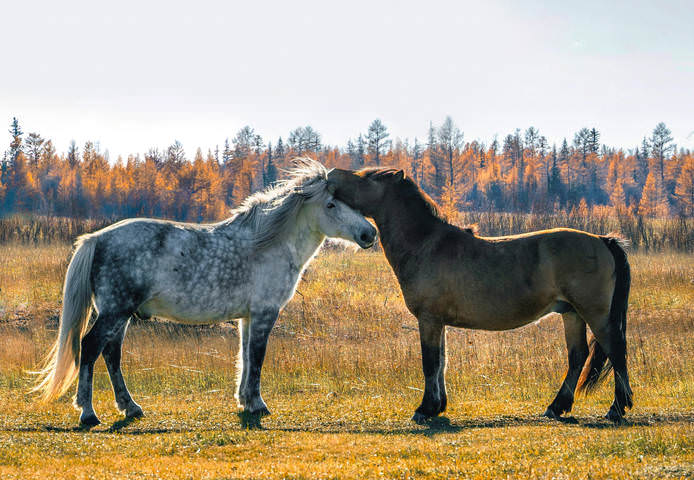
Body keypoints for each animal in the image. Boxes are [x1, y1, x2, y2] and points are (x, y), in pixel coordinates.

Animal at [32, 159, 378, 426]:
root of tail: (96, 238)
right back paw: (88, 413)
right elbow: (257, 357)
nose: (369, 233)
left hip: (120, 313)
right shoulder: (265, 313)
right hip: (115, 311)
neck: (265, 244)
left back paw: (130, 407)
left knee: (111, 353)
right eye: (331, 205)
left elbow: (245, 357)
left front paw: (245, 400)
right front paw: (257, 404)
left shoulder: (248, 318)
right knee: (91, 348)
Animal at [328, 167, 632, 422]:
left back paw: (616, 409)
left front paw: (425, 409)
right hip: (572, 313)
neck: (425, 243)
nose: (330, 175)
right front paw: (438, 406)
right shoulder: (438, 322)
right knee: (577, 356)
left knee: (616, 351)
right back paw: (557, 406)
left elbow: (430, 363)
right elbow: (442, 362)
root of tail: (603, 240)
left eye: (368, 177)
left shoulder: (428, 319)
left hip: (595, 313)